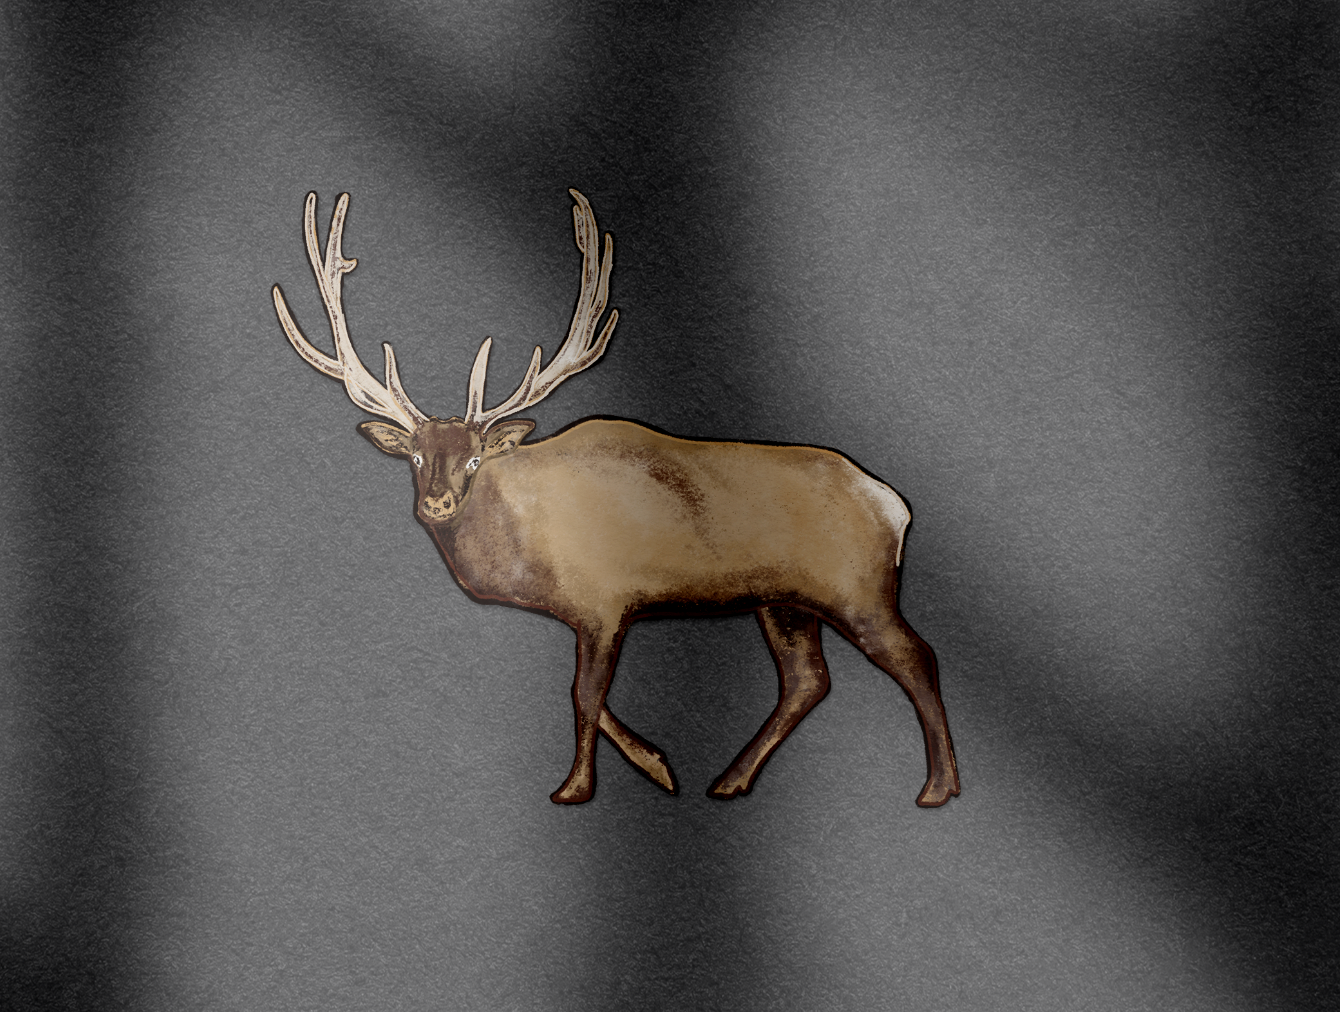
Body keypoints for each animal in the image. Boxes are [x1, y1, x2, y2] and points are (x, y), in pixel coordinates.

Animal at [271, 189, 960, 807]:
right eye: (415, 457)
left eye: (473, 457)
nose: (436, 505)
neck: (524, 551)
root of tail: (895, 505)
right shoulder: (591, 611)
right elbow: (594, 696)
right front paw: (658, 763)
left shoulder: (605, 601)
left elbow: (584, 694)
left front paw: (577, 788)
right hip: (784, 601)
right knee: (807, 681)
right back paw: (730, 779)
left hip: (857, 587)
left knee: (916, 656)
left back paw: (938, 787)